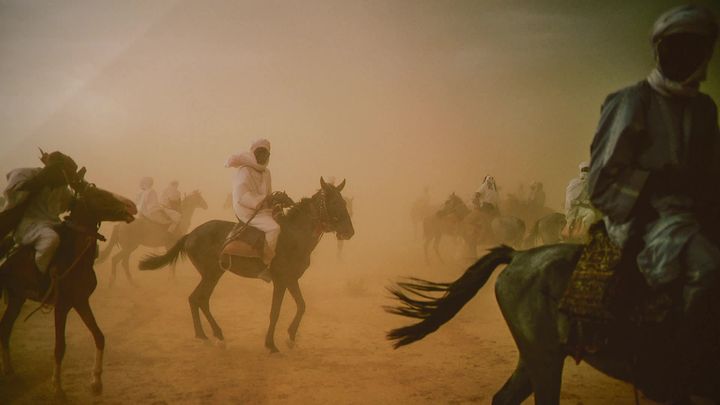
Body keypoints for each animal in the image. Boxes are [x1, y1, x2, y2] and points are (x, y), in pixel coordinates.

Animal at [0, 178, 136, 396]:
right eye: (100, 195)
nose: (131, 205)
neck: (74, 256)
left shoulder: (80, 301)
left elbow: (99, 336)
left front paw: (96, 382)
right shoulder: (62, 305)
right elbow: (59, 346)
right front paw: (57, 387)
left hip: (16, 298)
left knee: (5, 328)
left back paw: (10, 371)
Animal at [138, 178, 354, 352]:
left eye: (344, 202)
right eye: (334, 202)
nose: (349, 232)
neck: (293, 235)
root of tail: (190, 235)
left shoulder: (291, 279)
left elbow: (302, 305)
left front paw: (291, 337)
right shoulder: (280, 281)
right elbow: (275, 312)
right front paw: (270, 344)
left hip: (214, 273)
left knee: (197, 299)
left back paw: (208, 335)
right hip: (211, 274)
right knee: (199, 298)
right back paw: (213, 336)